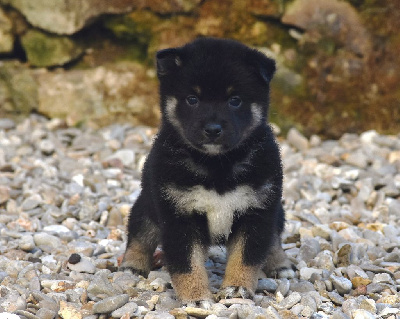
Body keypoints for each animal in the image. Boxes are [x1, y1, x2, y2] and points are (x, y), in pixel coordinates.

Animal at [120, 37, 292, 308]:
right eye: (192, 99)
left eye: (235, 100)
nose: (213, 129)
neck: (217, 166)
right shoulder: (178, 215)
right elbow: (187, 264)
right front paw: (196, 297)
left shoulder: (257, 211)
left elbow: (246, 257)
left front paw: (236, 288)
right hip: (147, 204)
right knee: (140, 233)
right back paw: (132, 264)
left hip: (277, 211)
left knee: (273, 238)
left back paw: (279, 263)